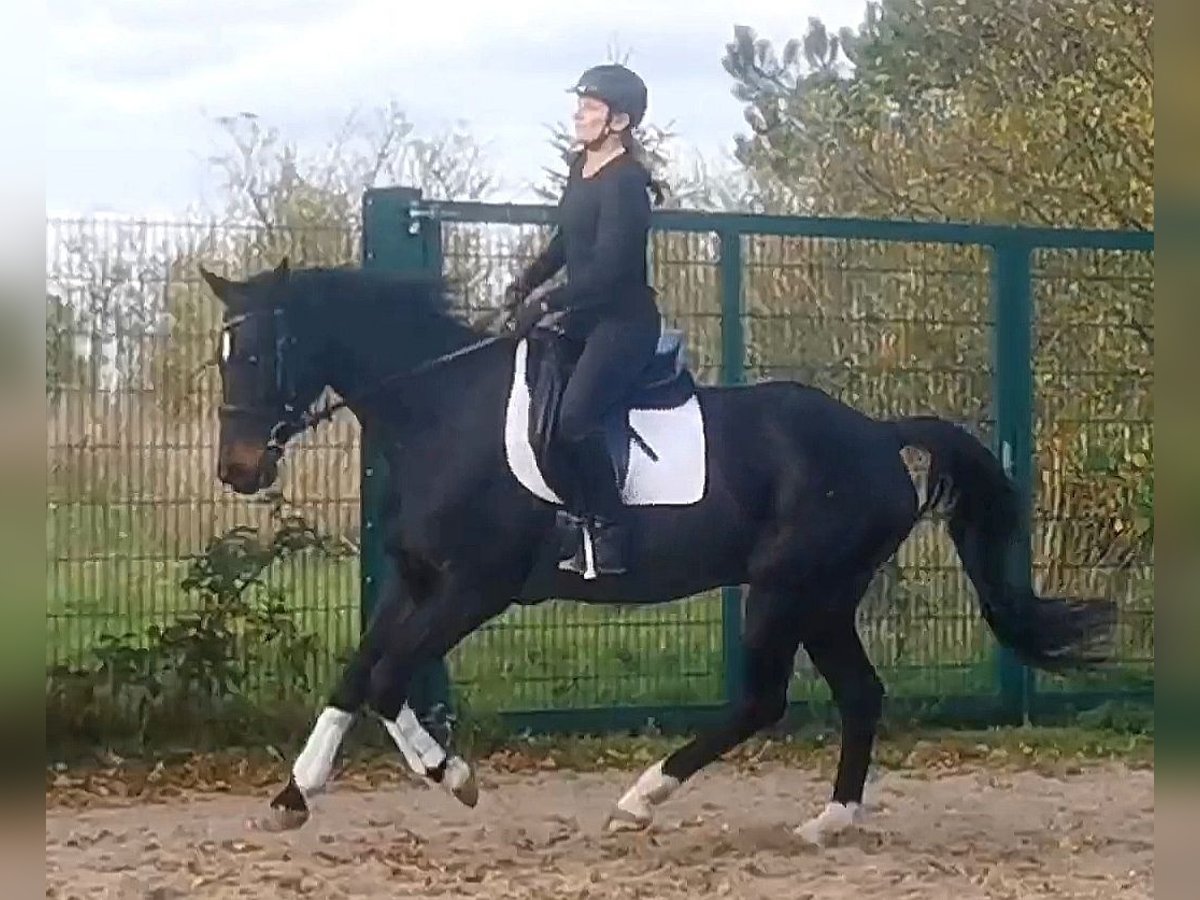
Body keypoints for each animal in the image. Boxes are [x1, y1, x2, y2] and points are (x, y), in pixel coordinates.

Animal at [200, 257, 1115, 844]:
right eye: (223, 355)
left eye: (259, 352)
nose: (238, 471)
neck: (442, 411)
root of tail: (876, 435)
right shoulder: (416, 582)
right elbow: (356, 675)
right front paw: (292, 795)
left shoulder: (473, 590)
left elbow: (391, 680)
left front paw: (454, 779)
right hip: (825, 596)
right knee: (859, 694)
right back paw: (828, 821)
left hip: (785, 589)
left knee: (764, 702)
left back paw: (641, 800)